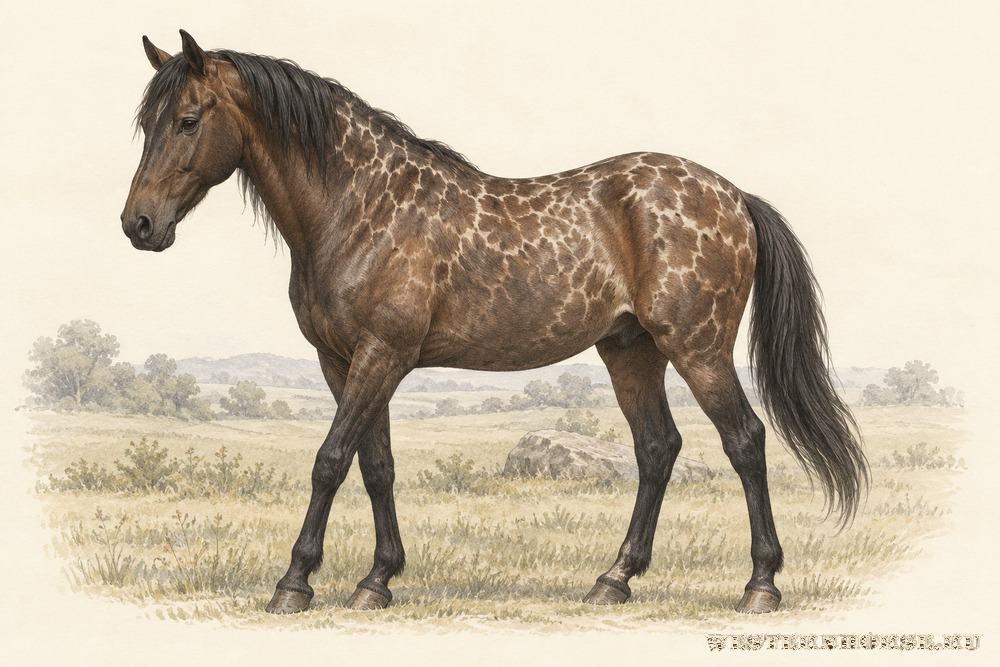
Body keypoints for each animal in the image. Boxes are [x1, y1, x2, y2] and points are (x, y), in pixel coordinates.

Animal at [121, 30, 867, 615]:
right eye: (146, 124)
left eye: (187, 119)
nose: (139, 225)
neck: (360, 205)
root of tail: (733, 196)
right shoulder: (344, 361)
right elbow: (376, 466)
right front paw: (377, 580)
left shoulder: (381, 354)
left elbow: (330, 461)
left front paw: (295, 582)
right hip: (631, 351)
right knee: (658, 449)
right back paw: (614, 580)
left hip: (699, 349)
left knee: (745, 440)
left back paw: (761, 585)